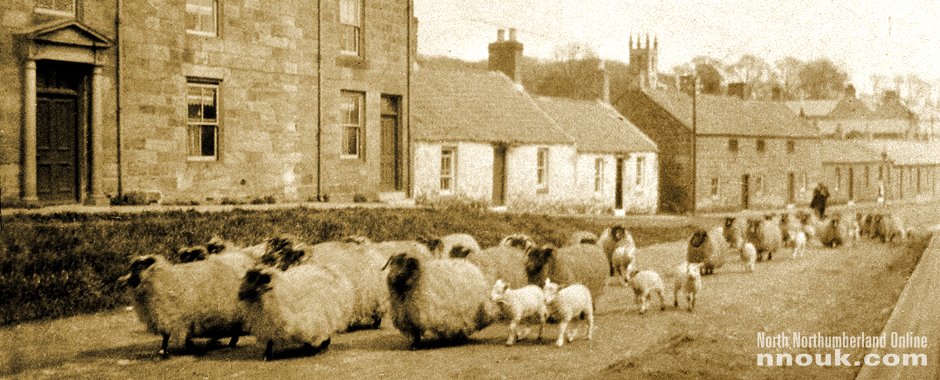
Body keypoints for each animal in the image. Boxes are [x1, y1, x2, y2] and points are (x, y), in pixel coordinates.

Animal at [122, 254, 253, 358]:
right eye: (131, 268)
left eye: (139, 267)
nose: (124, 282)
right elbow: (168, 336)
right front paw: (165, 351)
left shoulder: (175, 317)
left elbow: (168, 336)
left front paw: (167, 351)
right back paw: (218, 342)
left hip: (237, 310)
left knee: (235, 329)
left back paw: (228, 343)